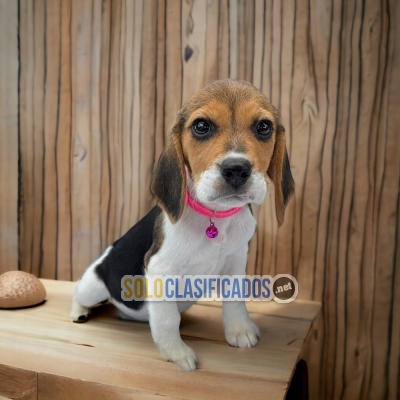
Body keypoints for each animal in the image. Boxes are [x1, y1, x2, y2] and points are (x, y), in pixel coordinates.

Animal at [69, 79, 294, 372]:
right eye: (201, 126)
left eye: (264, 127)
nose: (236, 169)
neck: (215, 217)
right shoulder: (160, 270)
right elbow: (168, 320)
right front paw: (177, 353)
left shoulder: (236, 260)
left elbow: (234, 300)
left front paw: (240, 330)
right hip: (93, 286)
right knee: (78, 291)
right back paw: (79, 311)